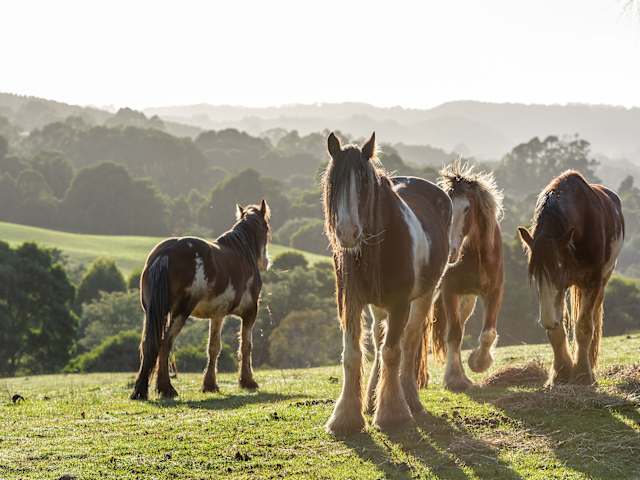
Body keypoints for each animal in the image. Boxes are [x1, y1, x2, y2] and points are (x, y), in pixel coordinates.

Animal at [130, 200, 271, 400]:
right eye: (266, 227)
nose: (266, 262)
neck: (242, 253)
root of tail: (165, 253)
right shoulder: (250, 313)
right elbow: (245, 346)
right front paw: (247, 381)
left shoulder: (218, 315)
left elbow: (213, 347)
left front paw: (210, 384)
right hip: (180, 313)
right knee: (165, 343)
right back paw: (166, 388)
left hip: (152, 313)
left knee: (149, 345)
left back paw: (143, 390)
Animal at [322, 132, 451, 434]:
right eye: (334, 182)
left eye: (364, 183)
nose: (347, 233)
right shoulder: (352, 302)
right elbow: (353, 354)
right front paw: (346, 417)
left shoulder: (400, 303)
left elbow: (393, 352)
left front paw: (393, 413)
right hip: (378, 306)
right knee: (380, 340)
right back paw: (371, 399)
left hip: (425, 295)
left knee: (409, 342)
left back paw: (409, 399)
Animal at [417, 161, 505, 391]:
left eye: (467, 208)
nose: (450, 251)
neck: (476, 256)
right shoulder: (450, 292)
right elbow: (454, 334)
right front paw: (454, 378)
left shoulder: (494, 292)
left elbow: (488, 333)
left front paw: (478, 363)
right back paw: (420, 378)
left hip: (468, 300)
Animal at [518, 170, 624, 385]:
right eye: (534, 274)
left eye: (558, 267)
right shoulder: (558, 290)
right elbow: (559, 327)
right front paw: (561, 372)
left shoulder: (592, 281)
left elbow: (584, 326)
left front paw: (583, 373)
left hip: (602, 281)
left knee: (593, 319)